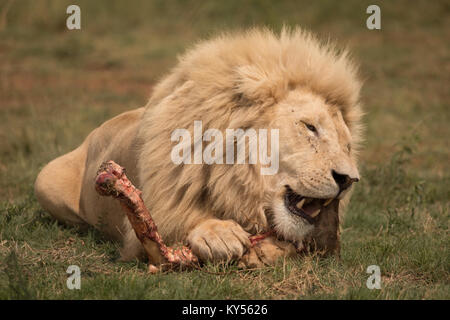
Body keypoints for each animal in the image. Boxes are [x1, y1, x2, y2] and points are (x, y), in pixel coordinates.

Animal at [36, 27, 366, 264]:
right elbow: (175, 222)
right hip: (44, 180)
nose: (348, 180)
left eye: (348, 145)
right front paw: (217, 235)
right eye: (310, 127)